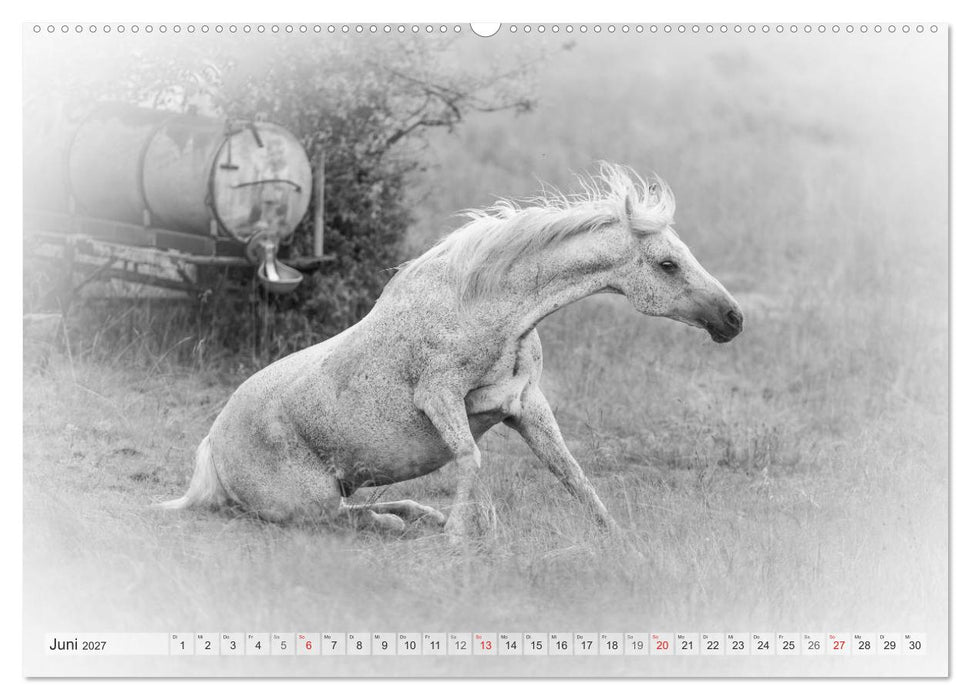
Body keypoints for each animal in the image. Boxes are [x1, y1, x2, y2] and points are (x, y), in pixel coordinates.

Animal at [159, 163, 743, 540]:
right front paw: (463, 537)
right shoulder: (439, 397)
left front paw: (618, 538)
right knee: (341, 517)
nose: (733, 319)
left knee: (362, 506)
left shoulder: (526, 405)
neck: (487, 310)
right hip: (310, 500)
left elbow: (570, 472)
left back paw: (421, 516)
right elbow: (470, 459)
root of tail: (211, 446)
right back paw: (402, 523)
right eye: (667, 264)